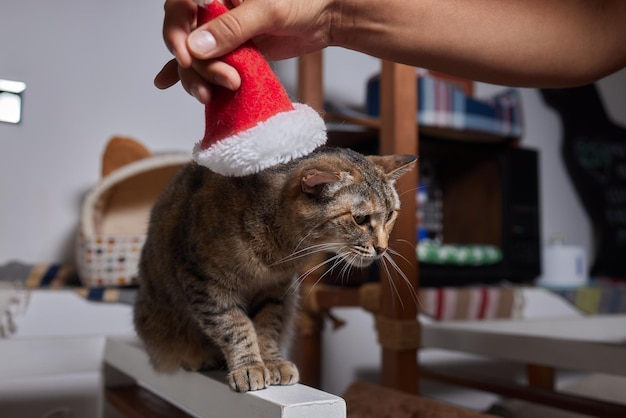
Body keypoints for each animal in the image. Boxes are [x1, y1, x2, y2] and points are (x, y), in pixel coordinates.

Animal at [133, 147, 414, 392]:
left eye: (390, 215)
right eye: (360, 219)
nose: (382, 248)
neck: (280, 251)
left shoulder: (276, 289)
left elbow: (267, 327)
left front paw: (272, 362)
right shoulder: (205, 283)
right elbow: (235, 325)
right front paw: (249, 366)